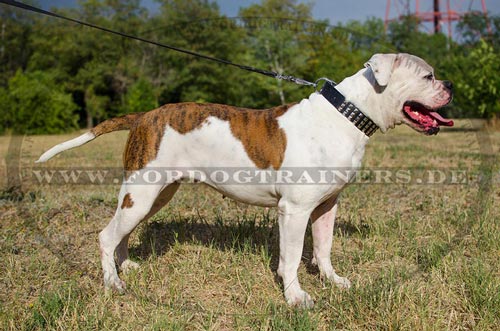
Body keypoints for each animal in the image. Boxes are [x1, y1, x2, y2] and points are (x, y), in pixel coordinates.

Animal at [37, 53, 456, 308]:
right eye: (428, 76)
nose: (450, 84)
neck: (347, 112)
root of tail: (143, 116)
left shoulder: (326, 206)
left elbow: (323, 249)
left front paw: (333, 281)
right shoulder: (294, 211)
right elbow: (290, 258)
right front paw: (296, 297)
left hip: (154, 195)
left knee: (122, 232)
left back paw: (126, 267)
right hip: (141, 193)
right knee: (106, 235)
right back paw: (113, 283)